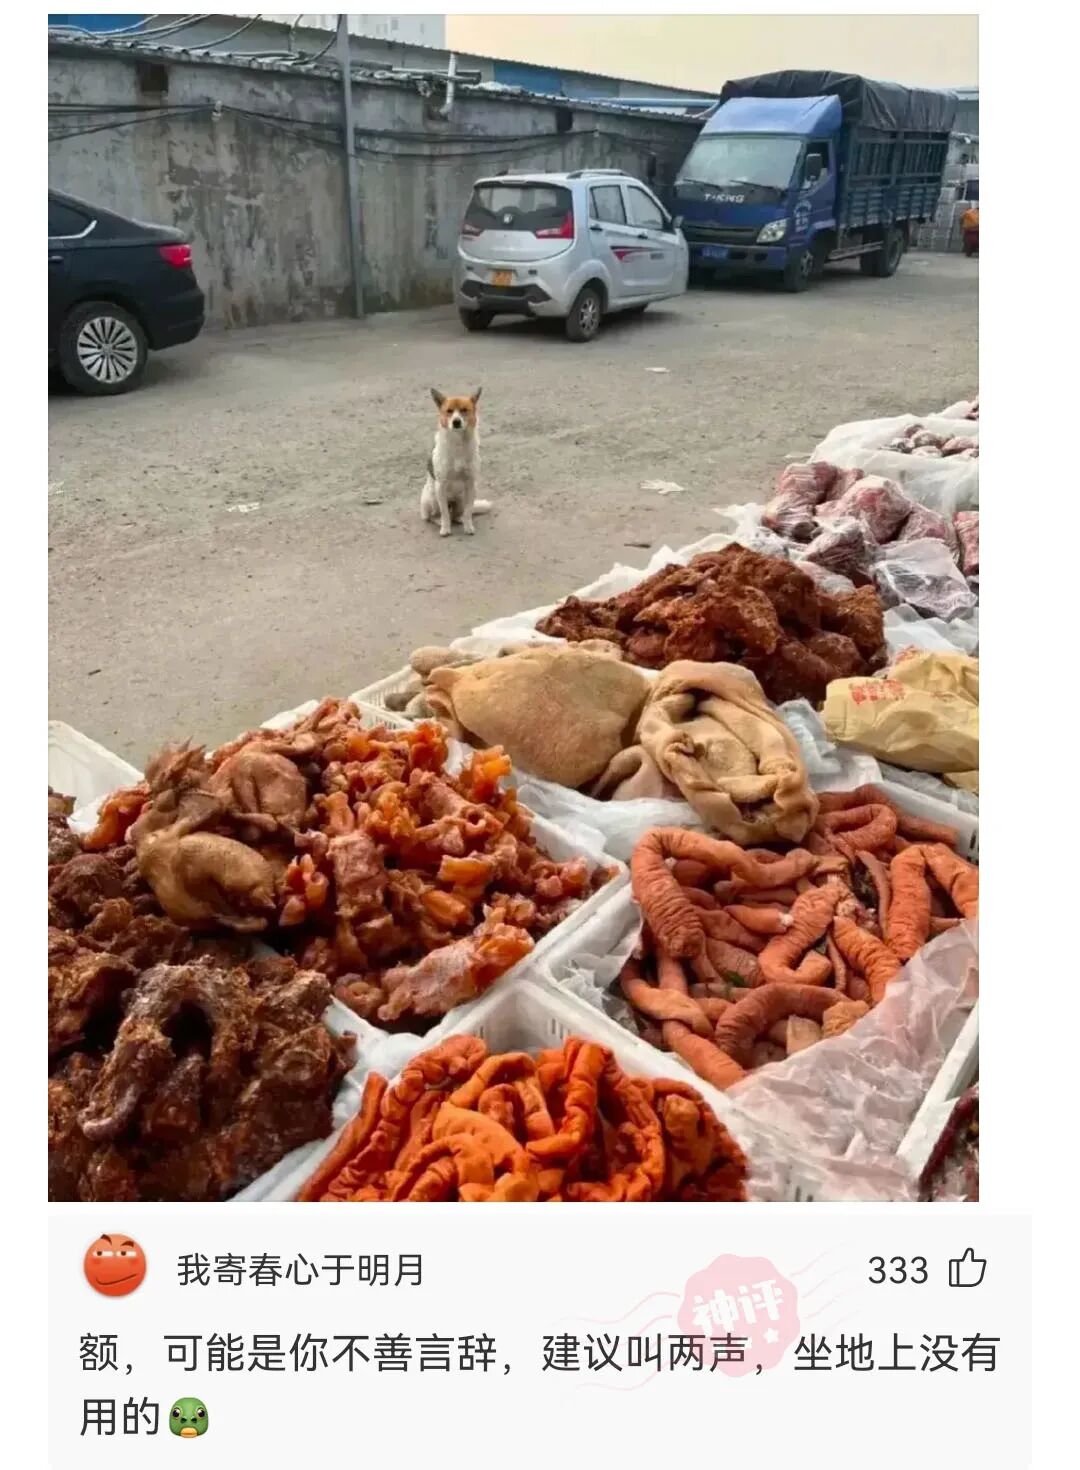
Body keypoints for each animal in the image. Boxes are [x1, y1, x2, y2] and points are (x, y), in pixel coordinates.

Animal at [420, 387, 491, 536]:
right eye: (449, 411)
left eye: (464, 410)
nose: (456, 422)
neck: (458, 443)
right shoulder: (441, 485)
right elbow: (445, 513)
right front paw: (445, 529)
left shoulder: (470, 483)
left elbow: (468, 511)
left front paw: (468, 526)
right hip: (432, 497)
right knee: (435, 515)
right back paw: (439, 521)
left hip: (464, 496)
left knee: (459, 513)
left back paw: (460, 519)